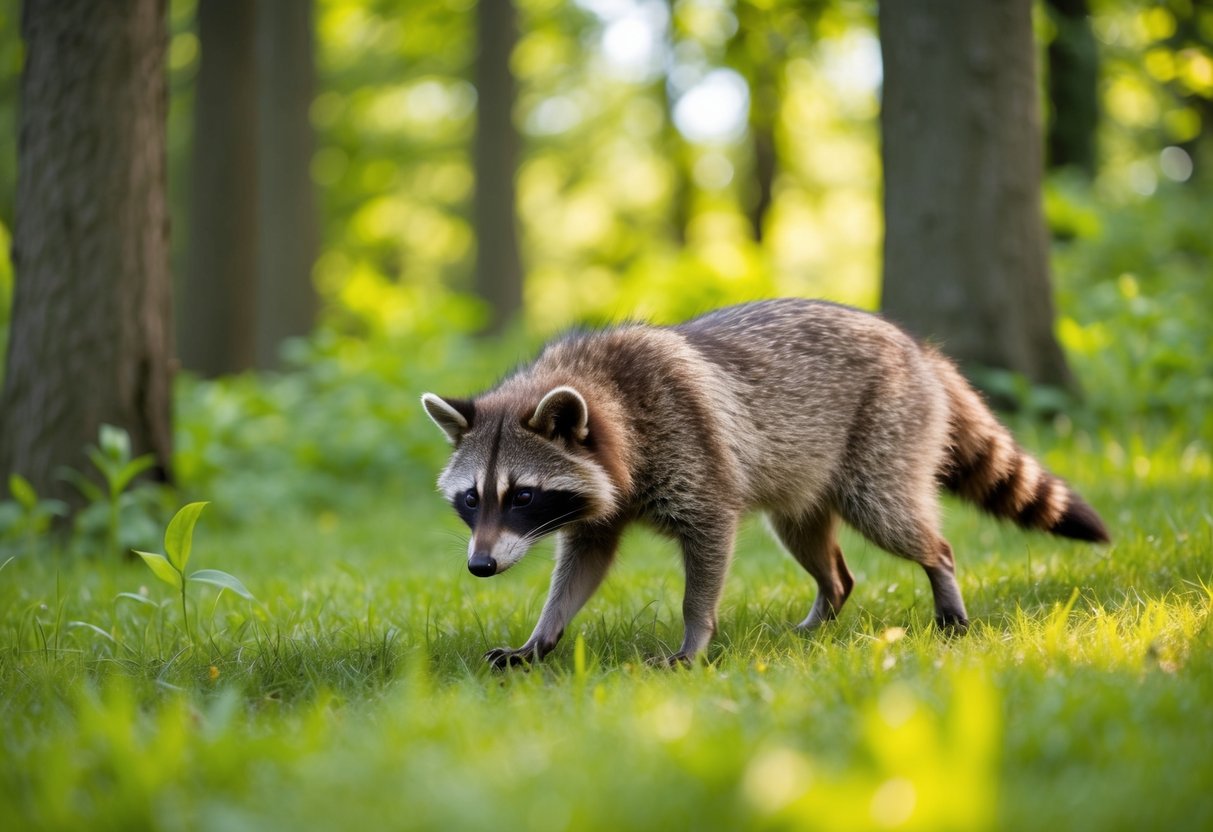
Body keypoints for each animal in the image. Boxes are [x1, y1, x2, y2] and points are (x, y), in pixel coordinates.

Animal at [422, 299, 1109, 667]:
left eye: (523, 496)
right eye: (473, 499)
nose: (480, 567)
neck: (607, 398)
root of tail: (920, 350)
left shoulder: (692, 457)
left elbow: (707, 548)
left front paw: (694, 639)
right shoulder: (596, 511)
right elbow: (581, 567)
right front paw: (542, 636)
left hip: (884, 440)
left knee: (902, 524)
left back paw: (943, 581)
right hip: (804, 480)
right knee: (820, 552)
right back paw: (825, 606)